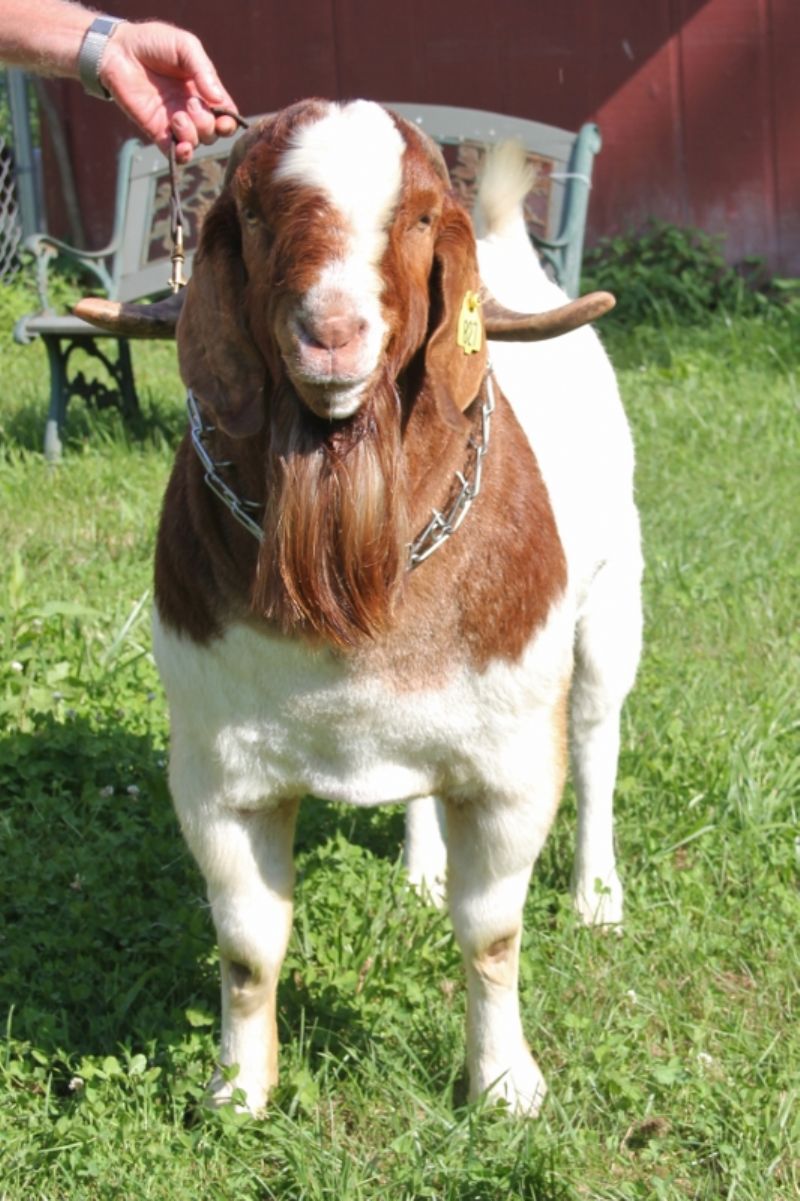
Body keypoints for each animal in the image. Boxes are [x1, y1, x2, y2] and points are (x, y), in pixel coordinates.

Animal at [76, 100, 643, 1114]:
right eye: (253, 213)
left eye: (417, 218)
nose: (331, 332)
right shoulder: (219, 776)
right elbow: (248, 949)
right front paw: (237, 1092)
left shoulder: (507, 767)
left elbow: (491, 934)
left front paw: (507, 1086)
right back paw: (421, 866)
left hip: (611, 605)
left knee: (596, 744)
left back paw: (596, 896)